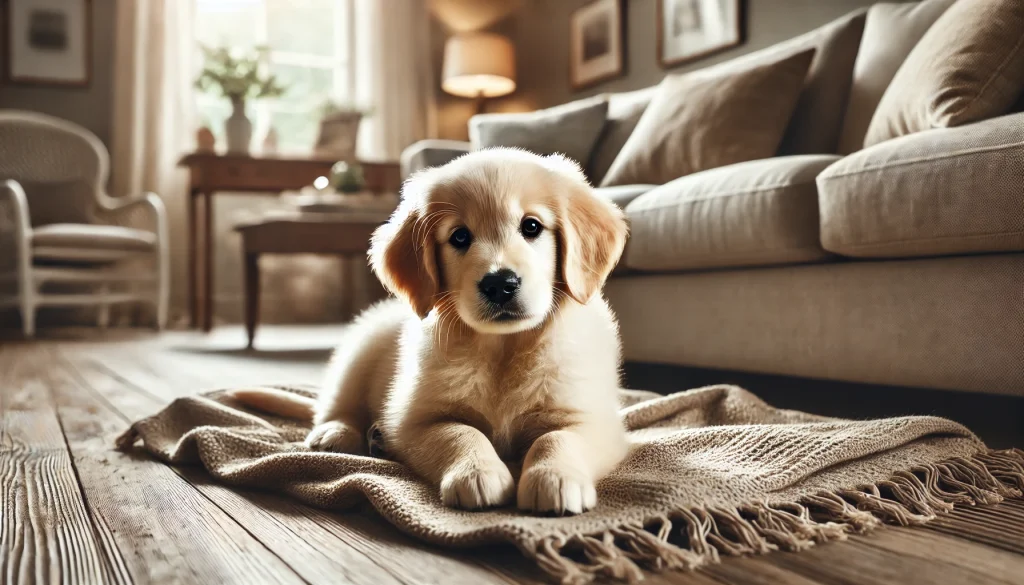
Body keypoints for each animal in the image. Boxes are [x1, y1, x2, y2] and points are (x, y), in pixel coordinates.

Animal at [235, 148, 626, 514]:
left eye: (531, 227)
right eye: (460, 237)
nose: (500, 284)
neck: (502, 348)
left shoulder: (590, 418)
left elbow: (556, 439)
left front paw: (554, 478)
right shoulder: (416, 420)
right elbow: (461, 432)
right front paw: (476, 473)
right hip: (360, 348)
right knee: (336, 404)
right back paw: (337, 432)